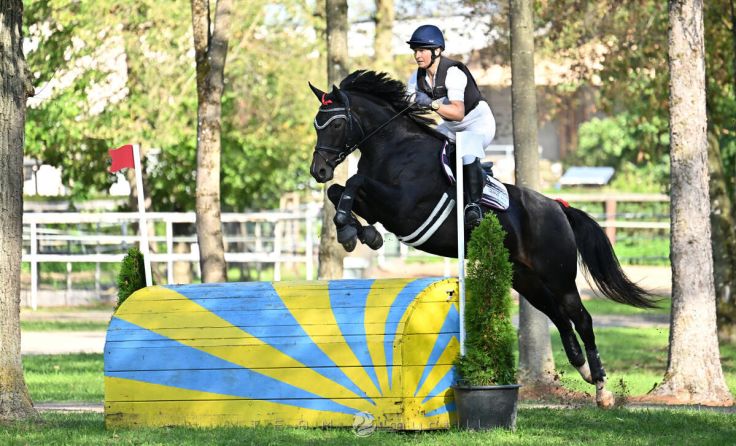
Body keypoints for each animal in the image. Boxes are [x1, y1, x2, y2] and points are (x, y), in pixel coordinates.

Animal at [308, 70, 656, 408]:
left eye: (336, 124)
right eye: (316, 124)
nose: (318, 171)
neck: (393, 147)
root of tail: (557, 207)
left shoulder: (403, 208)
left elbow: (354, 181)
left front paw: (351, 230)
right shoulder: (383, 207)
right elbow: (339, 191)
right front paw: (358, 232)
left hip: (557, 276)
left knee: (581, 318)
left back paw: (602, 389)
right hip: (524, 278)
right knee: (558, 316)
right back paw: (582, 368)